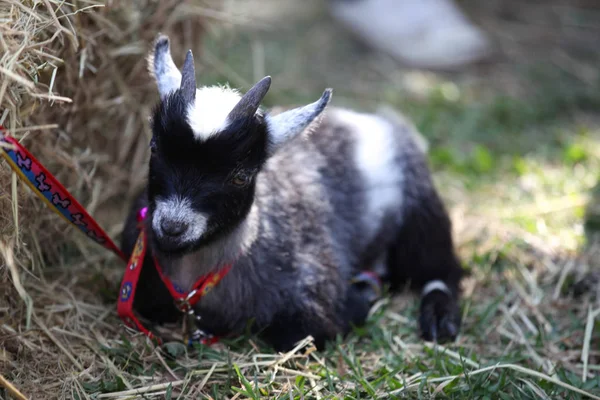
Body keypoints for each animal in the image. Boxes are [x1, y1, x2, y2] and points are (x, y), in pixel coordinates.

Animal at [120, 36, 464, 352]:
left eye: (241, 176)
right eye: (155, 148)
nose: (172, 227)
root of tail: (376, 122)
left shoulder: (315, 300)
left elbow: (299, 334)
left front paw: (362, 296)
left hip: (421, 213)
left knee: (443, 271)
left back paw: (438, 316)